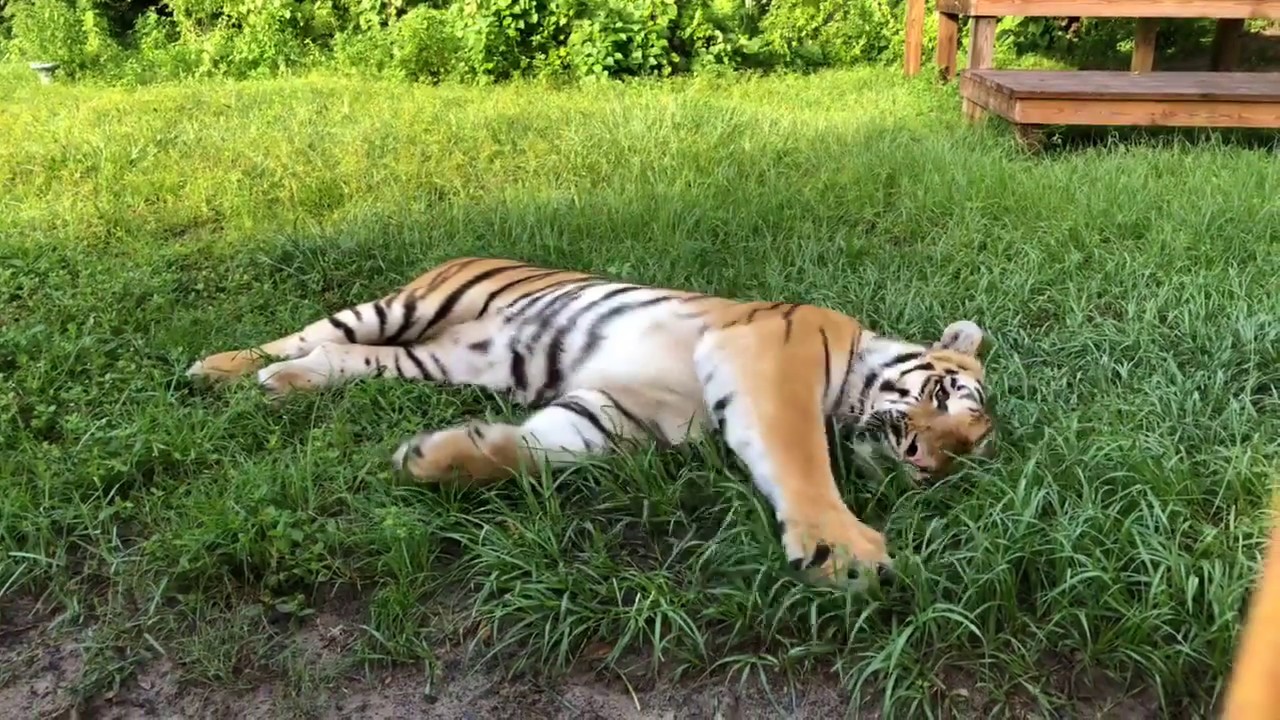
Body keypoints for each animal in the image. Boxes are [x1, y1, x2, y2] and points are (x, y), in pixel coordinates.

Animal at [187, 256, 994, 586]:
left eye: (959, 457)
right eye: (946, 398)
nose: (922, 460)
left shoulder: (624, 414)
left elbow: (542, 448)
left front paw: (441, 457)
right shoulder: (771, 358)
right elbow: (799, 458)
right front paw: (845, 548)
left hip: (427, 359)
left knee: (335, 355)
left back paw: (280, 385)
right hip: (403, 306)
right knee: (307, 332)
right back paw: (216, 369)